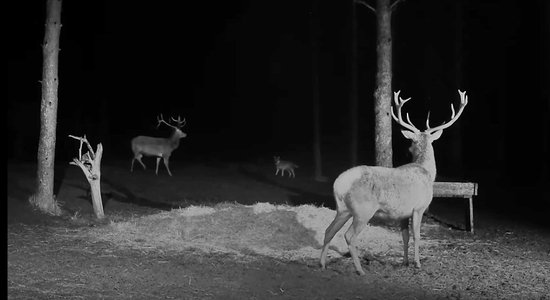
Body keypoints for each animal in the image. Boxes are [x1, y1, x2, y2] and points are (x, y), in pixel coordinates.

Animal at [320, 89, 470, 276]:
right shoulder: (419, 207)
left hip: (343, 209)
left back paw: (322, 264)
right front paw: (417, 263)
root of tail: (339, 184)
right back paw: (360, 270)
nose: (408, 149)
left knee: (328, 231)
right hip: (363, 210)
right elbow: (417, 235)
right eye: (412, 141)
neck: (427, 172)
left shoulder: (403, 213)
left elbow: (405, 236)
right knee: (349, 236)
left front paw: (405, 261)